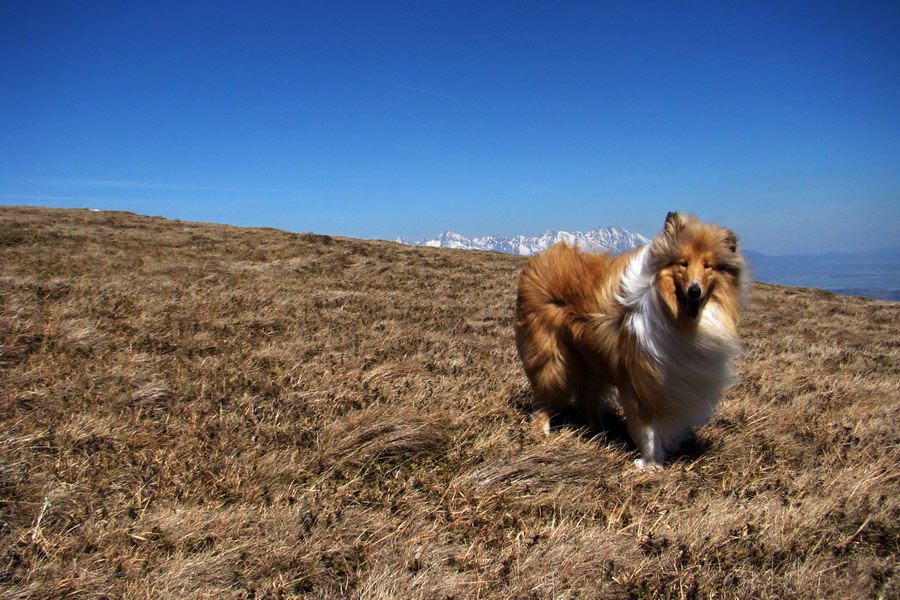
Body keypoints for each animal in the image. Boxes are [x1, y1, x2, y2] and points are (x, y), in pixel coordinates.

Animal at [512, 212, 744, 468]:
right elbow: (648, 429)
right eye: (683, 263)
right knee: (544, 396)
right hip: (551, 356)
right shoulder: (642, 377)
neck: (674, 312)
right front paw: (651, 465)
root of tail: (543, 257)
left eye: (708, 265)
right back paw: (542, 430)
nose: (694, 291)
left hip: (589, 360)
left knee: (586, 399)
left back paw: (596, 432)